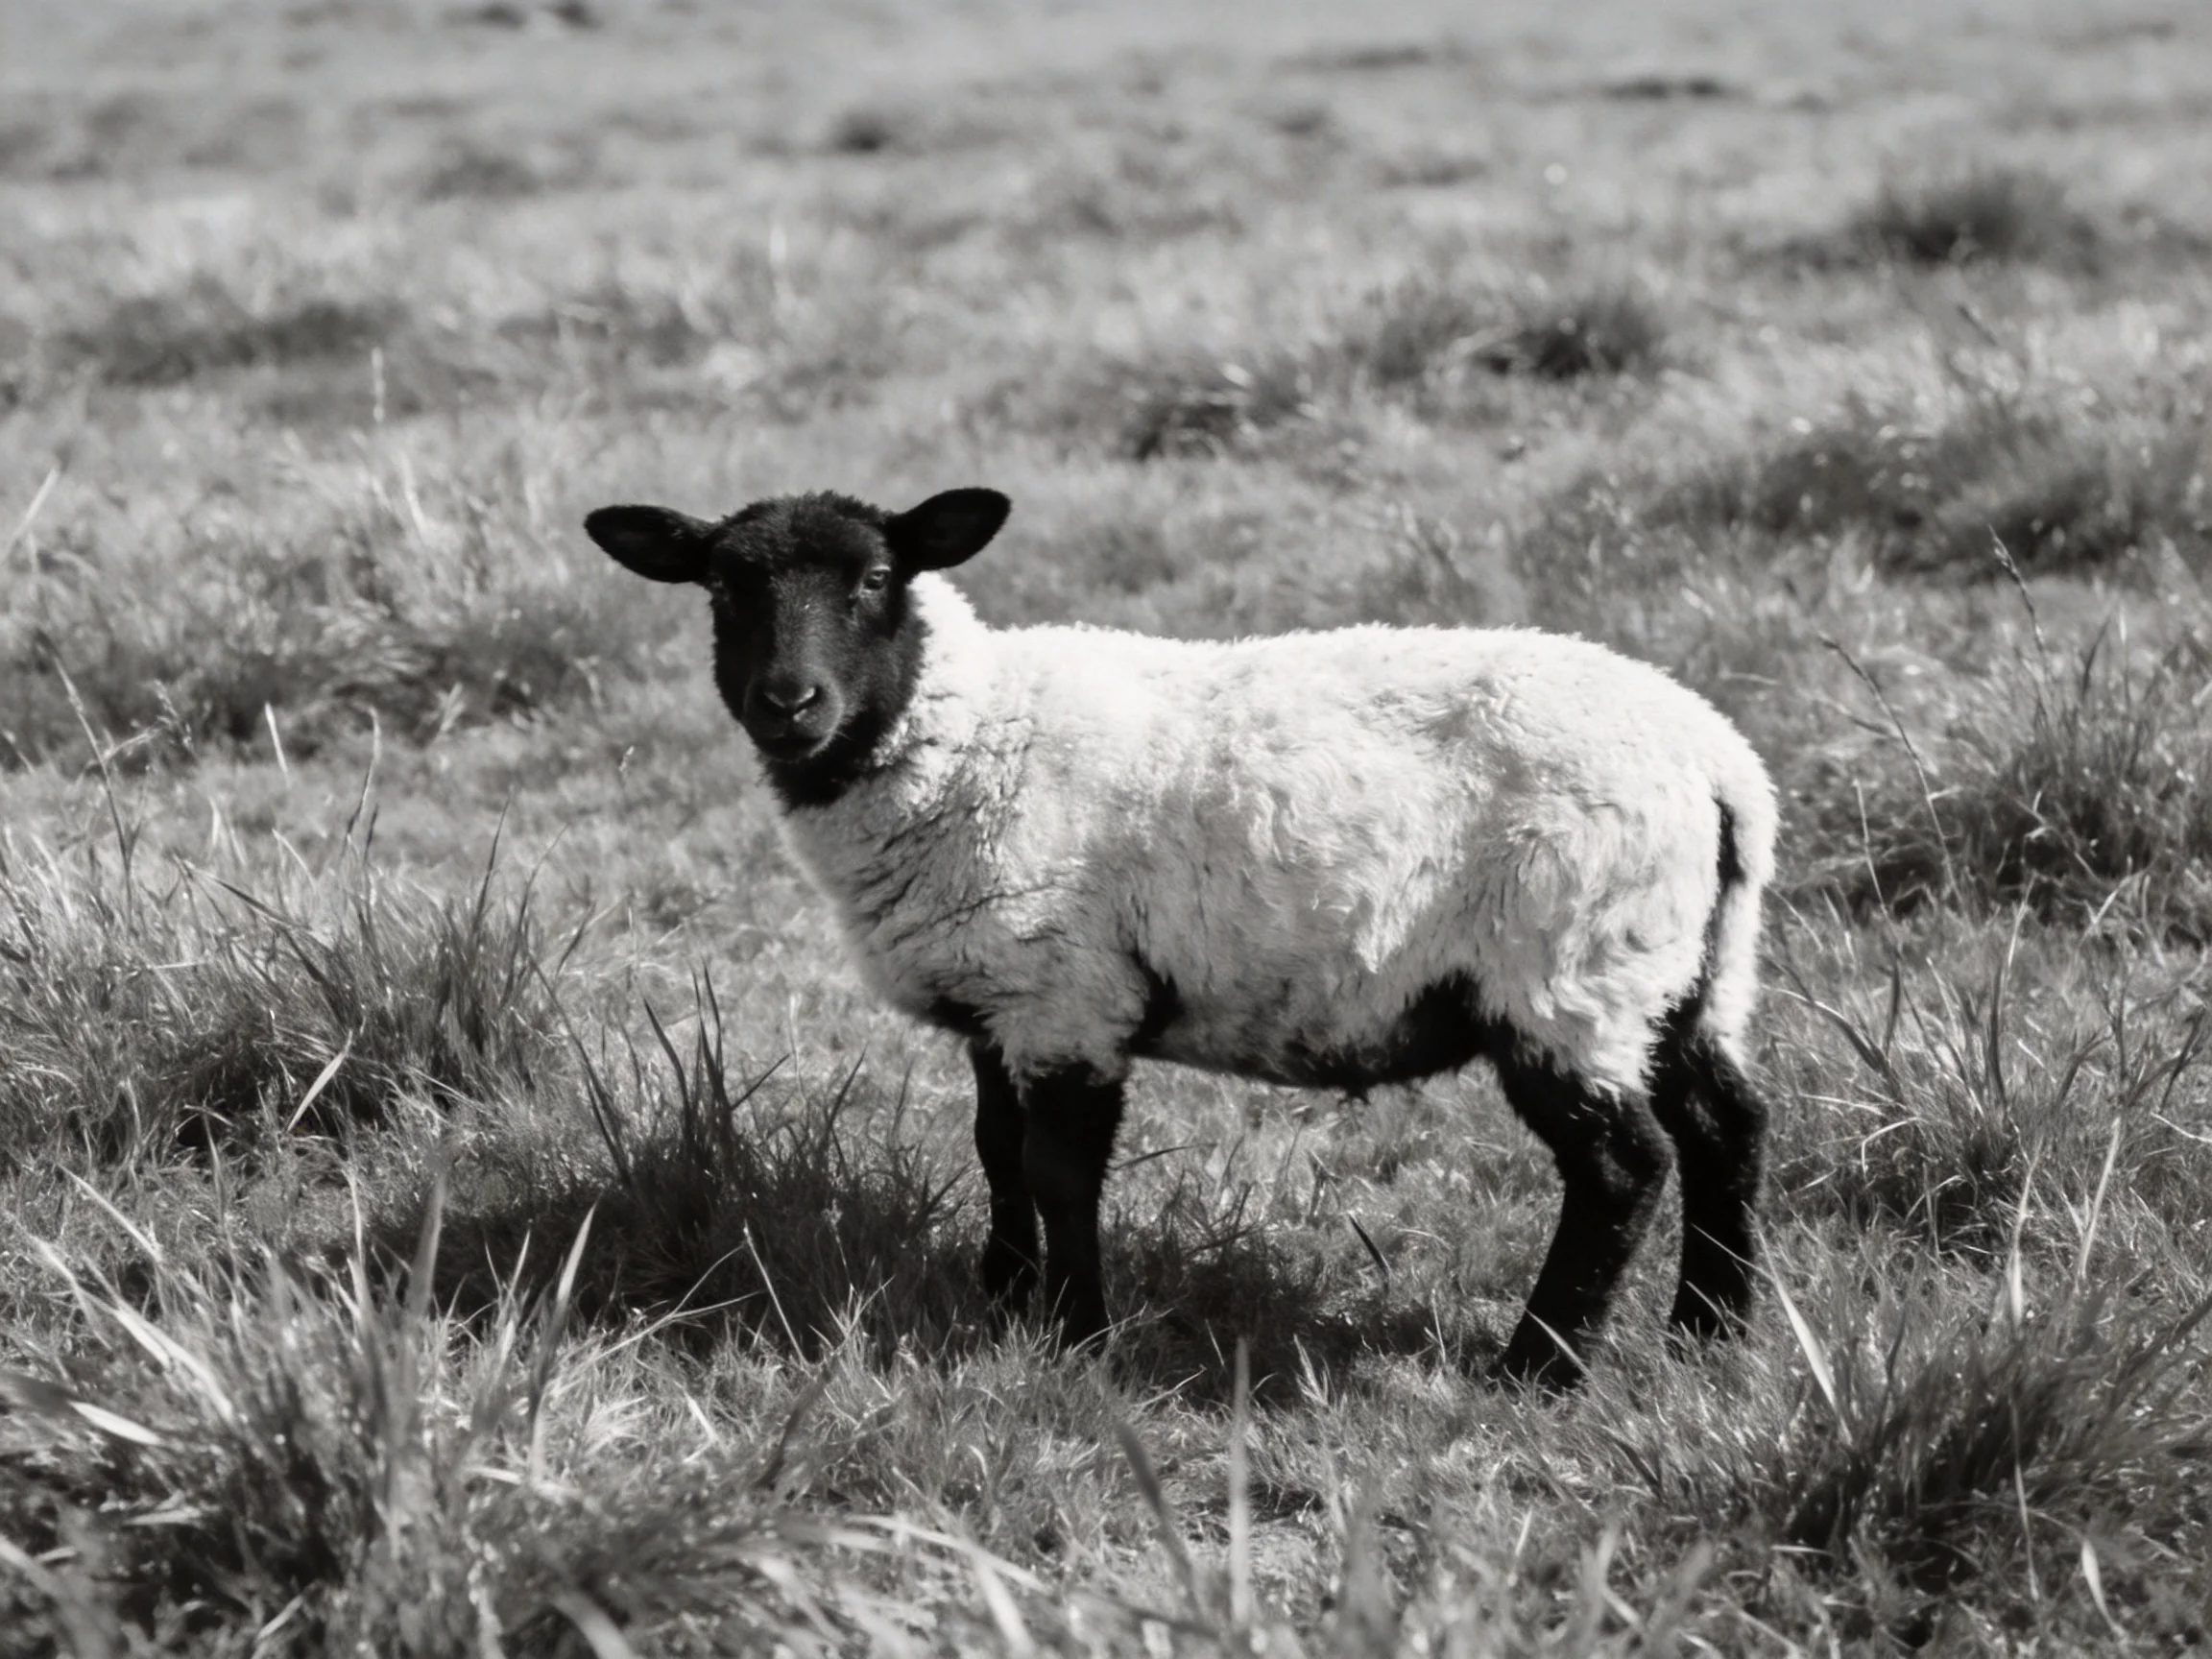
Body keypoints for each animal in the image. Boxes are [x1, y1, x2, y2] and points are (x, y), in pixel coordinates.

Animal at [584, 485, 1778, 1387]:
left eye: (877, 580)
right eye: (722, 588)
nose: (791, 702)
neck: (969, 733)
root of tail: (1718, 764)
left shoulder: (1068, 993)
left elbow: (1059, 1169)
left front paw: (1077, 1332)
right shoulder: (999, 992)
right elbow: (994, 1147)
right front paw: (1002, 1292)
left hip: (1564, 963)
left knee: (1624, 1165)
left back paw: (1540, 1367)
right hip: (1686, 969)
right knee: (1728, 1125)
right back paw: (1712, 1333)